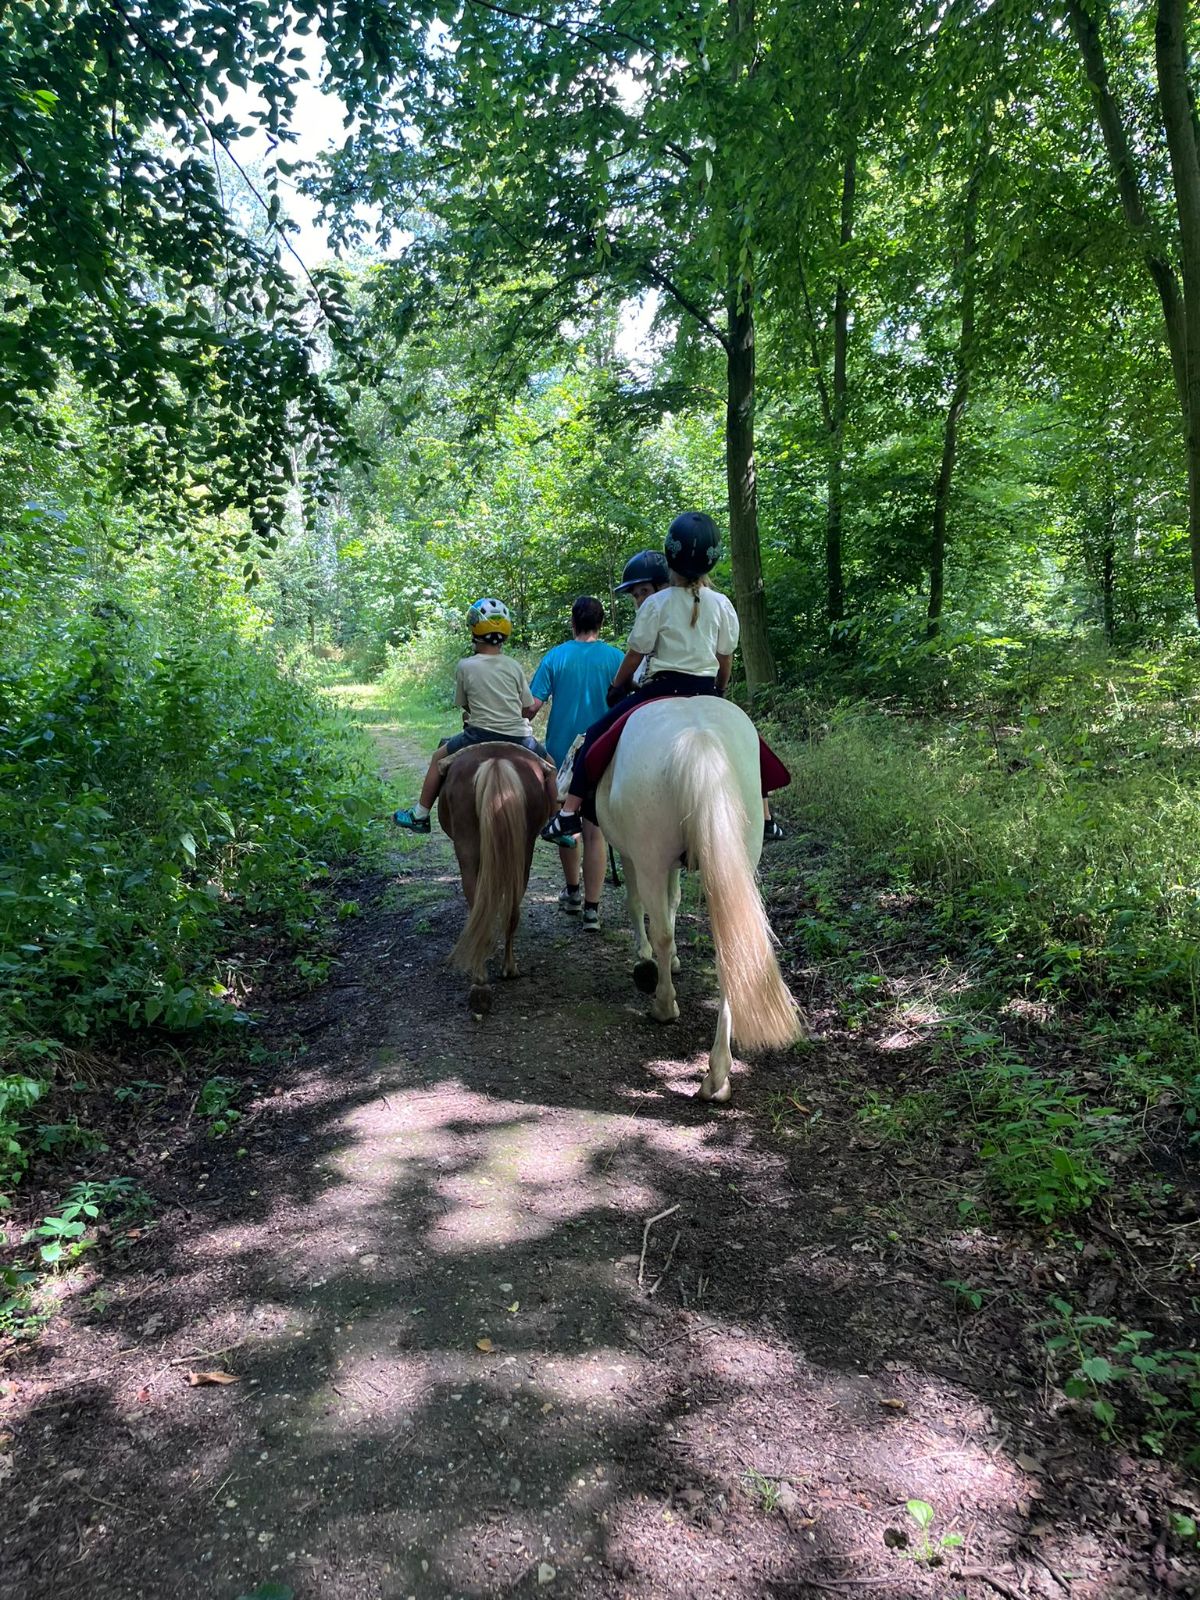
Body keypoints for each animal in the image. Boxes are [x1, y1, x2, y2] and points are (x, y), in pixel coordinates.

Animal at [438, 739, 560, 1004]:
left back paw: (480, 971)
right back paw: (509, 967)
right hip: (523, 850)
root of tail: (496, 762)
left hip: (466, 846)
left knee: (476, 900)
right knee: (512, 906)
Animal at [598, 697, 803, 1100]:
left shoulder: (633, 856)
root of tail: (699, 737)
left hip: (650, 856)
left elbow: (640, 905)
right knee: (731, 954)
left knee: (661, 929)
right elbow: (674, 900)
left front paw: (644, 955)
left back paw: (664, 1005)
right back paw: (717, 1075)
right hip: (734, 859)